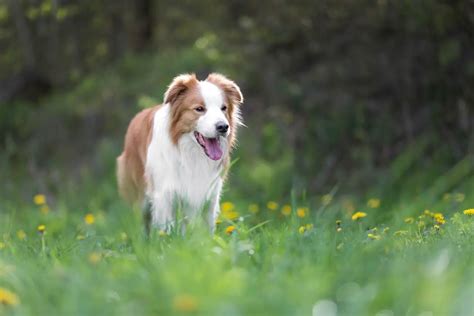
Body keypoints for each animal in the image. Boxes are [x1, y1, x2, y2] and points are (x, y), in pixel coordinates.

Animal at [116, 73, 243, 232]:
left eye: (223, 108)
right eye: (199, 109)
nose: (223, 127)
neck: (192, 154)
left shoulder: (210, 194)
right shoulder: (164, 195)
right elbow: (167, 229)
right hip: (140, 197)